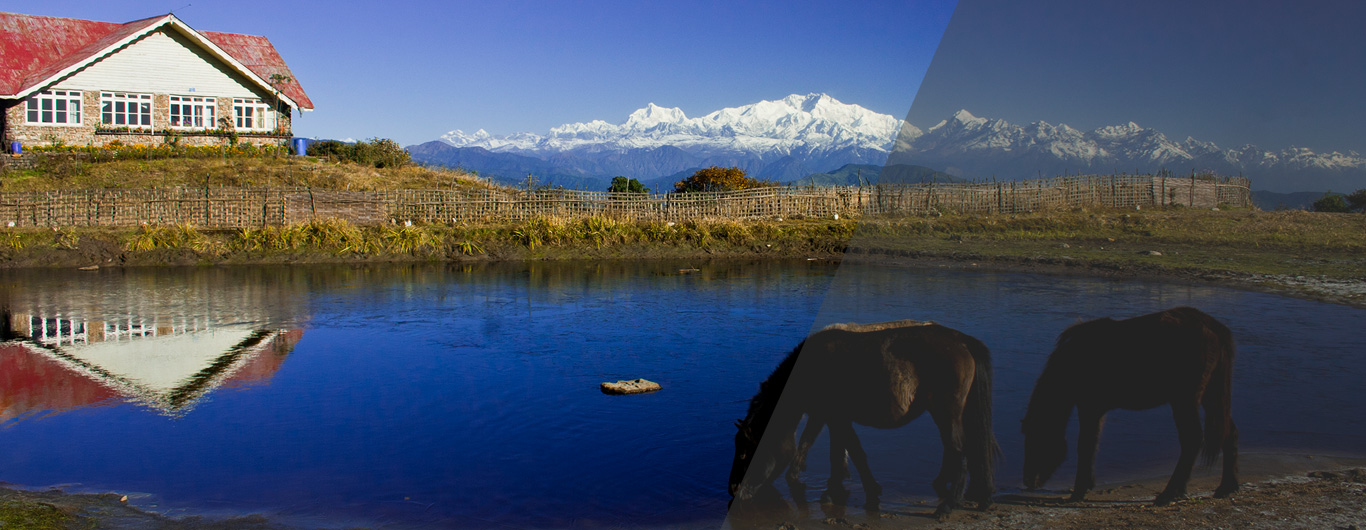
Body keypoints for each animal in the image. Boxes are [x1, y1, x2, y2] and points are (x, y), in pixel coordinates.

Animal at [732, 318, 999, 516]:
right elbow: (829, 448)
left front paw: (858, 490)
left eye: (744, 453)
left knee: (960, 451)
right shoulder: (826, 417)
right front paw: (837, 489)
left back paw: (947, 505)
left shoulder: (835, 418)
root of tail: (960, 340)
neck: (811, 367)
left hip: (946, 414)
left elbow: (849, 451)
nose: (734, 490)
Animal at [1021, 304, 1245, 502]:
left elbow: (1084, 445)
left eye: (1036, 437)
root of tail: (1212, 325)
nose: (1028, 481)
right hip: (1211, 396)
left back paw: (1169, 494)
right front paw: (1086, 485)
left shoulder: (1089, 407)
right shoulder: (1097, 410)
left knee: (1192, 439)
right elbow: (1093, 444)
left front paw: (1079, 491)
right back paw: (1226, 487)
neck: (1073, 361)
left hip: (1185, 400)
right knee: (1229, 432)